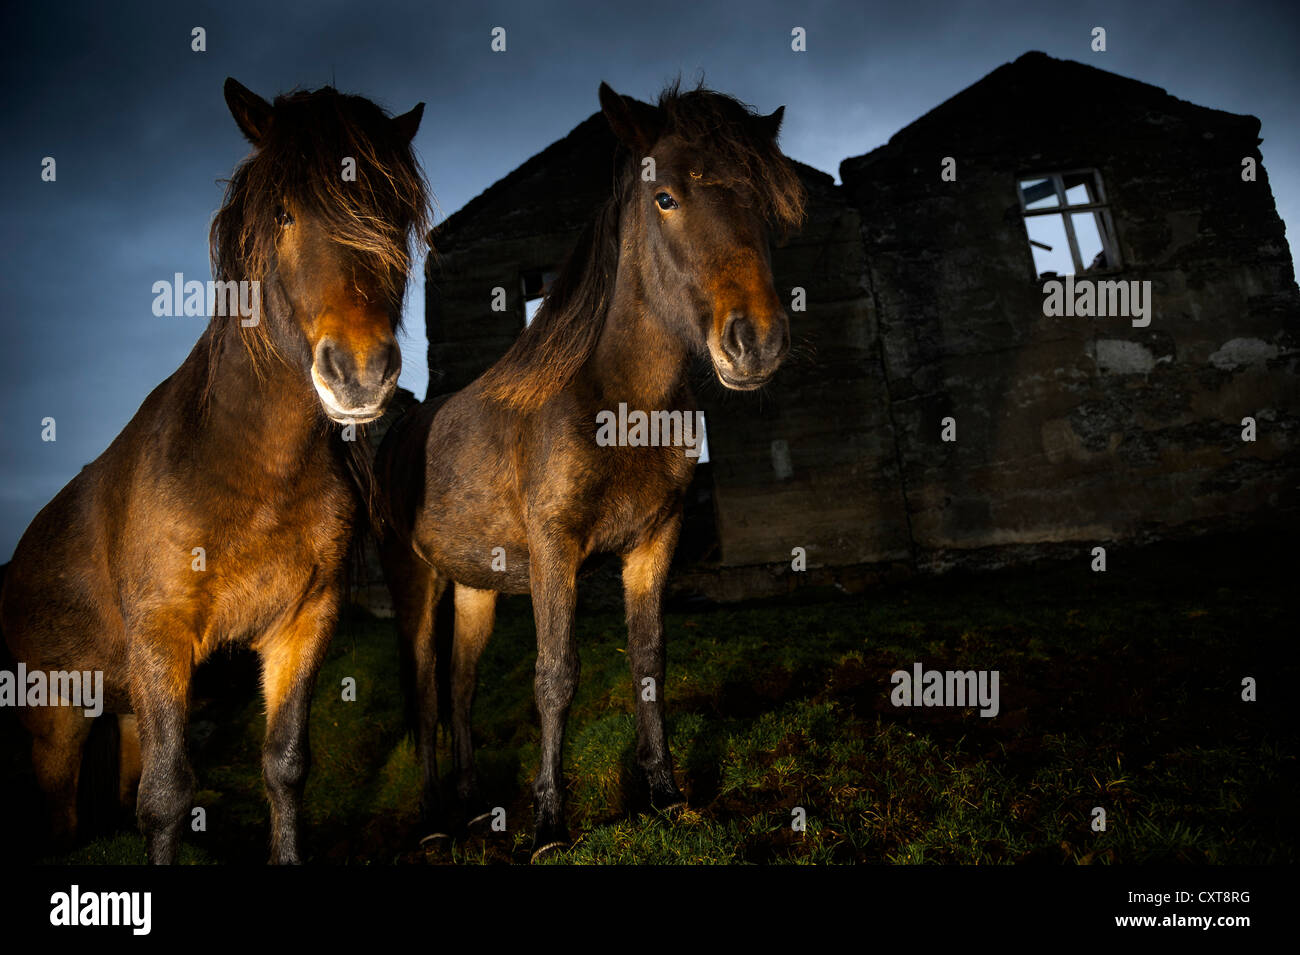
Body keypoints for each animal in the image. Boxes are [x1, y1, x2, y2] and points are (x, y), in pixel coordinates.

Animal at [2, 78, 434, 862]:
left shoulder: (302, 624)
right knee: (62, 814)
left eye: (392, 215)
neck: (251, 470)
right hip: (55, 716)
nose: (360, 373)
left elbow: (284, 766)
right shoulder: (163, 637)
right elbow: (168, 798)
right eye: (284, 212)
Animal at [377, 80, 800, 857]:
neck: (615, 399)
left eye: (762, 199)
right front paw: (550, 825)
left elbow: (649, 661)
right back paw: (433, 821)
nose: (755, 342)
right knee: (420, 692)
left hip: (476, 586)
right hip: (414, 579)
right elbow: (555, 675)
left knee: (459, 688)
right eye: (665, 197)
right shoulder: (555, 550)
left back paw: (472, 802)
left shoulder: (654, 544)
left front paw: (665, 794)